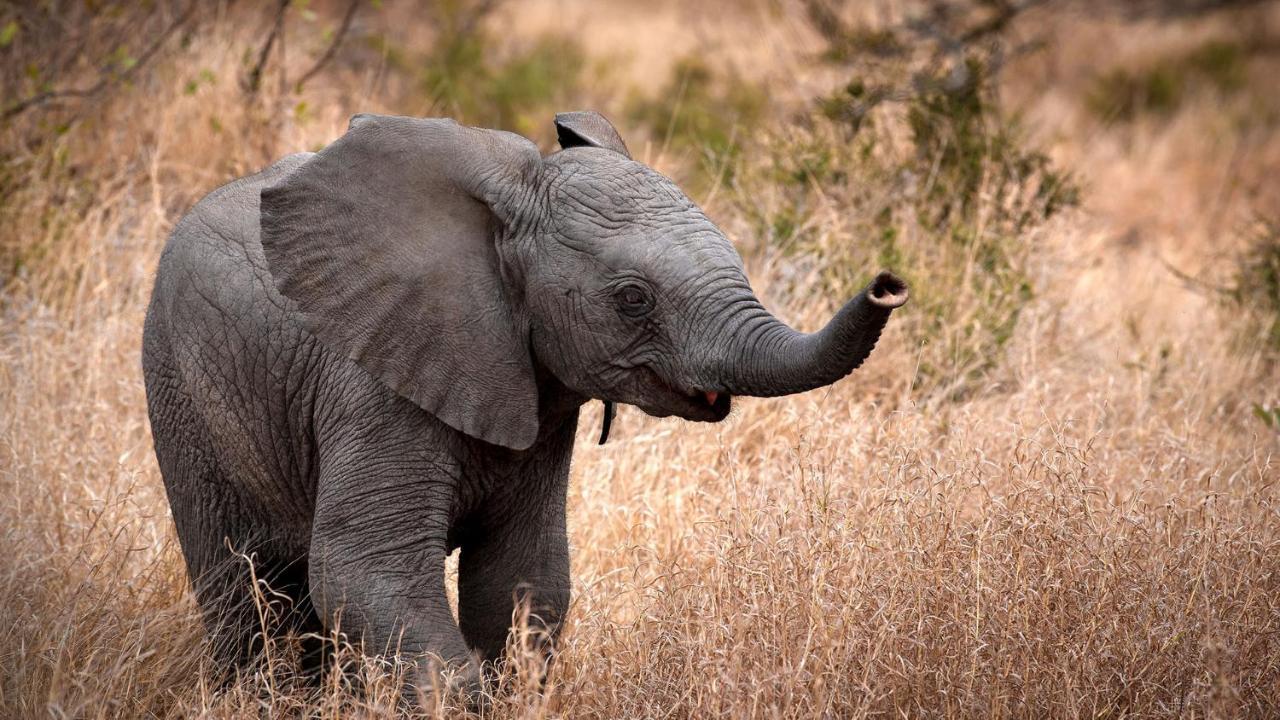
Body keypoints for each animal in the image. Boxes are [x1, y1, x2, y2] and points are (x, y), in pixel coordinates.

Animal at [142, 109, 911, 691]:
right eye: (632, 300)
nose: (889, 284)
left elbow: (521, 580)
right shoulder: (371, 384)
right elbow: (364, 569)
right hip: (178, 388)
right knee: (241, 588)